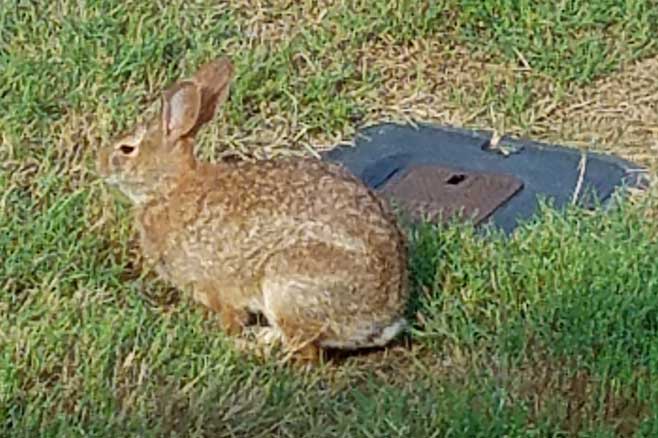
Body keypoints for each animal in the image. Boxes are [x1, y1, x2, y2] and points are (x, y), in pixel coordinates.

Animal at [97, 57, 409, 362]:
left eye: (126, 149)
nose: (99, 163)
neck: (169, 188)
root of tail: (383, 315)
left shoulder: (216, 287)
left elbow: (231, 318)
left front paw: (226, 340)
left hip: (287, 284)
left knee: (305, 352)